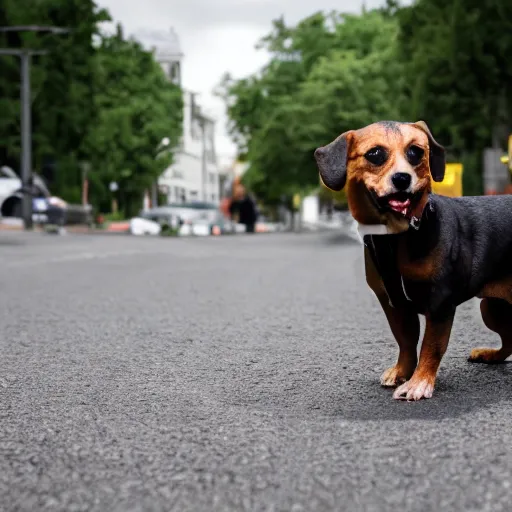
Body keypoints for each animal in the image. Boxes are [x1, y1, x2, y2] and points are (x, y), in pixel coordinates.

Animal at [314, 121, 512, 400]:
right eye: (375, 154)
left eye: (416, 152)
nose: (402, 178)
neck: (395, 236)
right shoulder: (394, 304)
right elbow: (406, 342)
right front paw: (402, 372)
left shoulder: (440, 304)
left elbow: (431, 346)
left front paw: (419, 382)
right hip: (491, 308)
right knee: (510, 340)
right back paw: (491, 355)